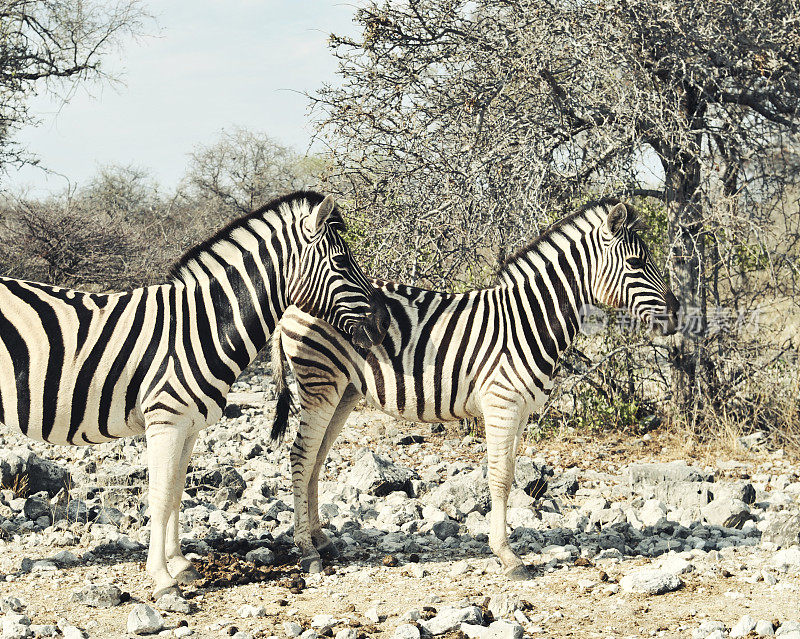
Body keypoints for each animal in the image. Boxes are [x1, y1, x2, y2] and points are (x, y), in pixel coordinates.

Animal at [0, 190, 390, 600]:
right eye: (342, 261)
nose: (384, 324)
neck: (202, 327)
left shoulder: (188, 424)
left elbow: (175, 492)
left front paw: (180, 565)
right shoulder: (165, 420)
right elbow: (159, 495)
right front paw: (161, 578)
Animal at [272, 200, 680, 580]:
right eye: (636, 263)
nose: (677, 314)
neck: (529, 321)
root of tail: (292, 302)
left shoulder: (521, 410)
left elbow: (510, 474)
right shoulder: (502, 403)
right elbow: (499, 477)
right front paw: (507, 556)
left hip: (343, 391)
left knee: (315, 459)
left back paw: (322, 540)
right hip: (319, 384)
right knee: (300, 456)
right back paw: (307, 550)